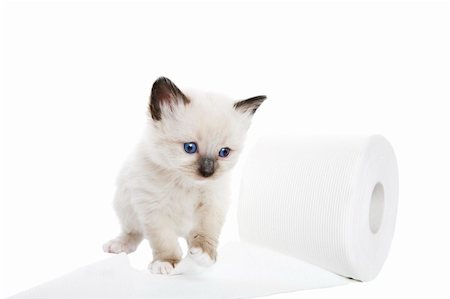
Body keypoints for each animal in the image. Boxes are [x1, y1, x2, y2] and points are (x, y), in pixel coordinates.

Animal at [103, 78, 266, 276]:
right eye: (190, 148)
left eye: (224, 152)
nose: (207, 172)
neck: (186, 183)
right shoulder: (153, 210)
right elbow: (164, 241)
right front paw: (167, 262)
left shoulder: (212, 205)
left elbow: (206, 233)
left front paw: (204, 255)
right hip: (125, 205)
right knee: (134, 231)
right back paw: (119, 245)